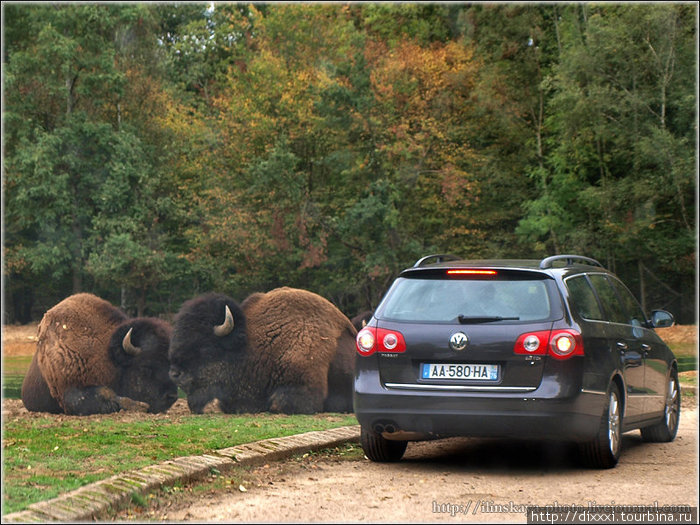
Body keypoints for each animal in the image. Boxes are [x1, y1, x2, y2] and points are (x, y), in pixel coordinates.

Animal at [21, 292, 178, 416]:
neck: (107, 353)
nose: (172, 396)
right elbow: (105, 394)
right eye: (146, 368)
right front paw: (139, 406)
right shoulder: (67, 388)